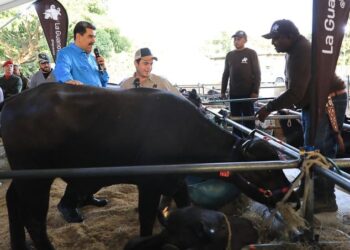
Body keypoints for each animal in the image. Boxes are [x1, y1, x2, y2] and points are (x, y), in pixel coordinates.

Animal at [2, 84, 296, 250]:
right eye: (267, 169)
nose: (288, 192)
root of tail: (14, 101)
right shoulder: (150, 184)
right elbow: (145, 218)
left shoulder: (175, 183)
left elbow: (185, 207)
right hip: (36, 179)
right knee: (34, 220)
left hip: (23, 179)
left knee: (13, 201)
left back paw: (19, 244)